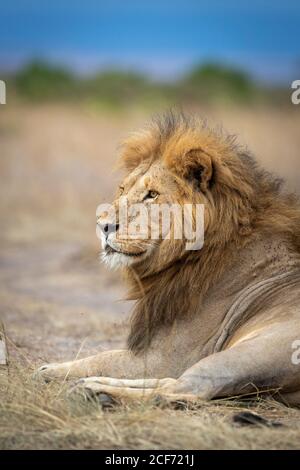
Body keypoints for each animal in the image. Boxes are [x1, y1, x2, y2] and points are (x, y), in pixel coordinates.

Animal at [36, 112, 300, 406]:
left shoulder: (172, 356)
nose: (102, 225)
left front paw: (50, 369)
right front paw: (51, 369)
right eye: (122, 189)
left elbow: (104, 357)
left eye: (152, 194)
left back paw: (94, 390)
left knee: (184, 389)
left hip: (249, 352)